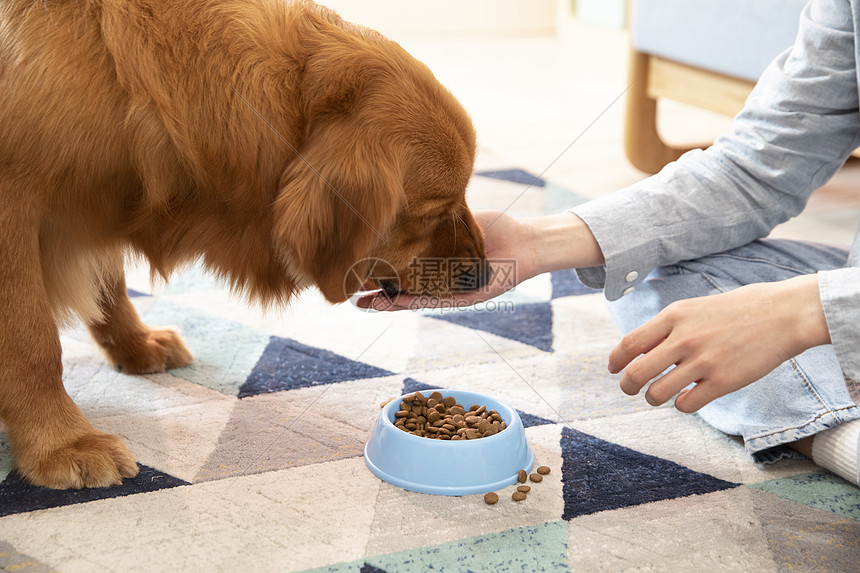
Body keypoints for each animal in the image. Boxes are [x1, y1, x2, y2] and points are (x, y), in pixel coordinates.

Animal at [0, 1, 490, 488]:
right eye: (433, 213)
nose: (485, 273)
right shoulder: (15, 211)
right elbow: (33, 342)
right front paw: (63, 442)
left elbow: (111, 289)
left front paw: (135, 344)